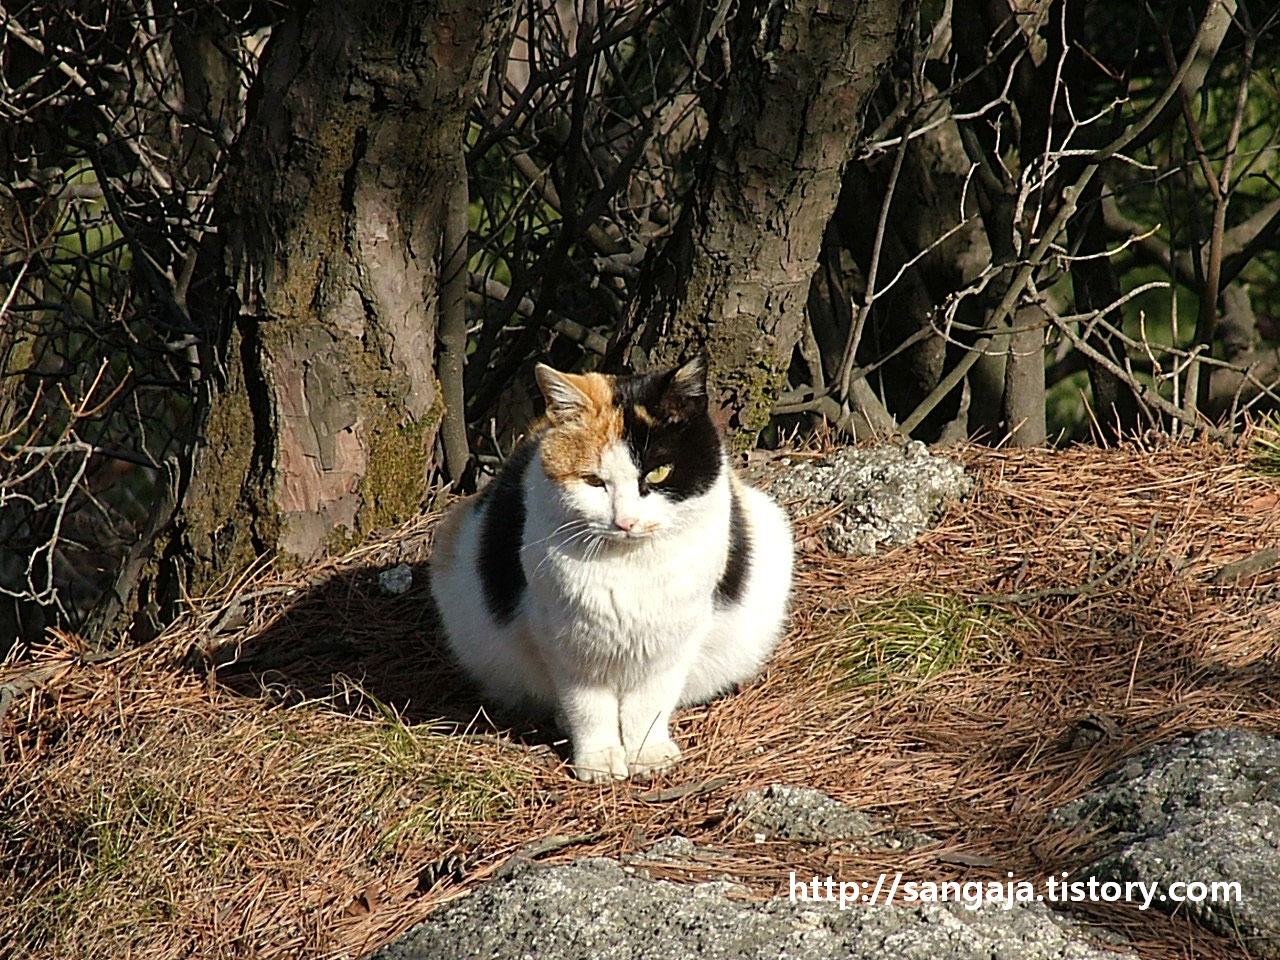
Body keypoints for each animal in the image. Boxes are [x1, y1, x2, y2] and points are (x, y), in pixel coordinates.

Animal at [430, 358, 788, 783]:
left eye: (658, 473)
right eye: (593, 481)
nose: (626, 521)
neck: (628, 566)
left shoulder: (673, 638)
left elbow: (650, 700)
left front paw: (648, 755)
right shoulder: (565, 641)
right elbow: (587, 706)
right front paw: (599, 761)